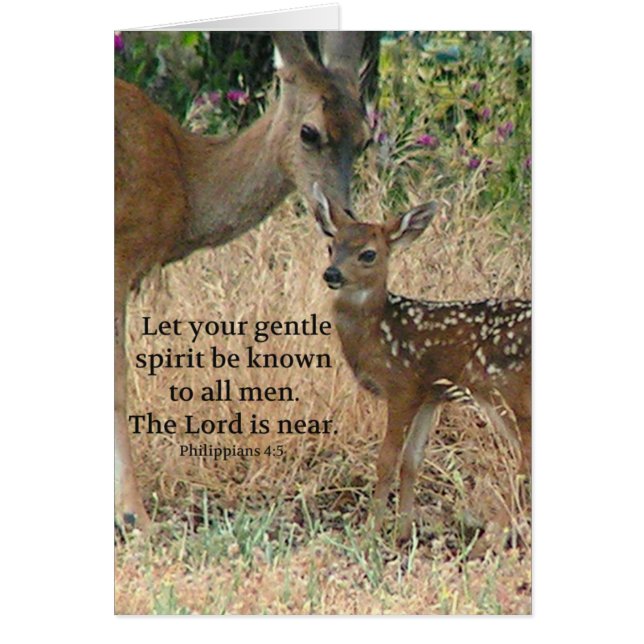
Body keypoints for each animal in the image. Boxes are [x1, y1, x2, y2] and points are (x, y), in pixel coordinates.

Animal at [312, 184, 531, 543]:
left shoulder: (402, 387)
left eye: (368, 254)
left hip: (504, 389)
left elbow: (387, 460)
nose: (332, 273)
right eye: (331, 246)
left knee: (527, 456)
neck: (378, 332)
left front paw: (371, 533)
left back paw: (493, 537)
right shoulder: (430, 395)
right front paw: (402, 532)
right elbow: (412, 462)